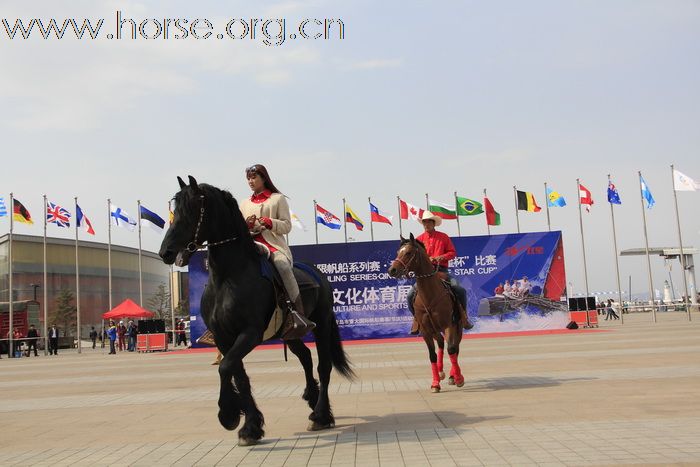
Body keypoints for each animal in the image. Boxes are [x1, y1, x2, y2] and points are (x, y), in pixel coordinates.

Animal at [161, 176, 352, 446]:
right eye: (175, 211)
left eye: (191, 210)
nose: (165, 252)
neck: (229, 277)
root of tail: (318, 273)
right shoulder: (223, 337)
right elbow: (237, 374)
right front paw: (250, 426)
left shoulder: (249, 333)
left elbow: (225, 368)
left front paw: (229, 414)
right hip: (289, 333)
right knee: (305, 356)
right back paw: (311, 397)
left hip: (322, 323)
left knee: (323, 366)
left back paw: (321, 415)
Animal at [388, 233, 464, 392]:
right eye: (398, 252)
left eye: (408, 252)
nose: (392, 270)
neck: (430, 295)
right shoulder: (425, 330)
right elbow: (432, 355)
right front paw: (435, 383)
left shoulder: (449, 324)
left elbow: (452, 349)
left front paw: (459, 378)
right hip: (435, 329)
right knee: (441, 343)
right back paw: (441, 372)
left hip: (458, 326)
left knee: (455, 347)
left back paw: (453, 376)